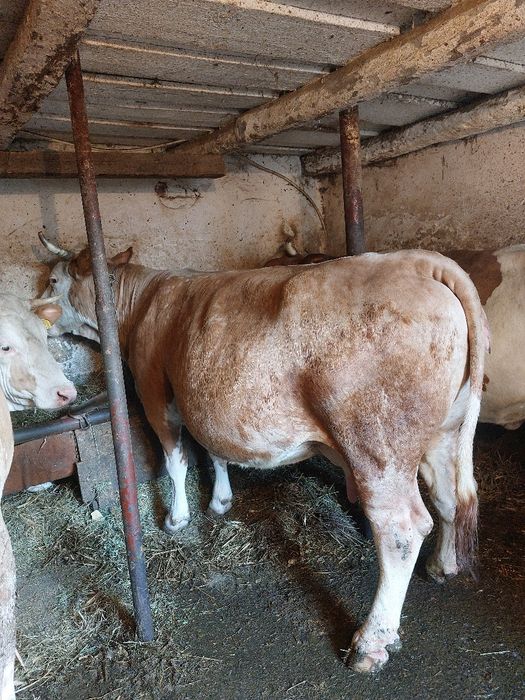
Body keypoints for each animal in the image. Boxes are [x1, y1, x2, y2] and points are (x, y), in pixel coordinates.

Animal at [40, 234, 487, 673]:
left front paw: (177, 517)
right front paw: (220, 500)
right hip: (444, 432)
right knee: (449, 496)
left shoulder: (154, 389)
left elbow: (175, 459)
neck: (143, 300)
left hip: (377, 444)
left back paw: (371, 642)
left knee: (401, 527)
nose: (37, 310)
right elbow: (214, 452)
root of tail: (418, 261)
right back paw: (442, 566)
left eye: (55, 280)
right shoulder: (203, 400)